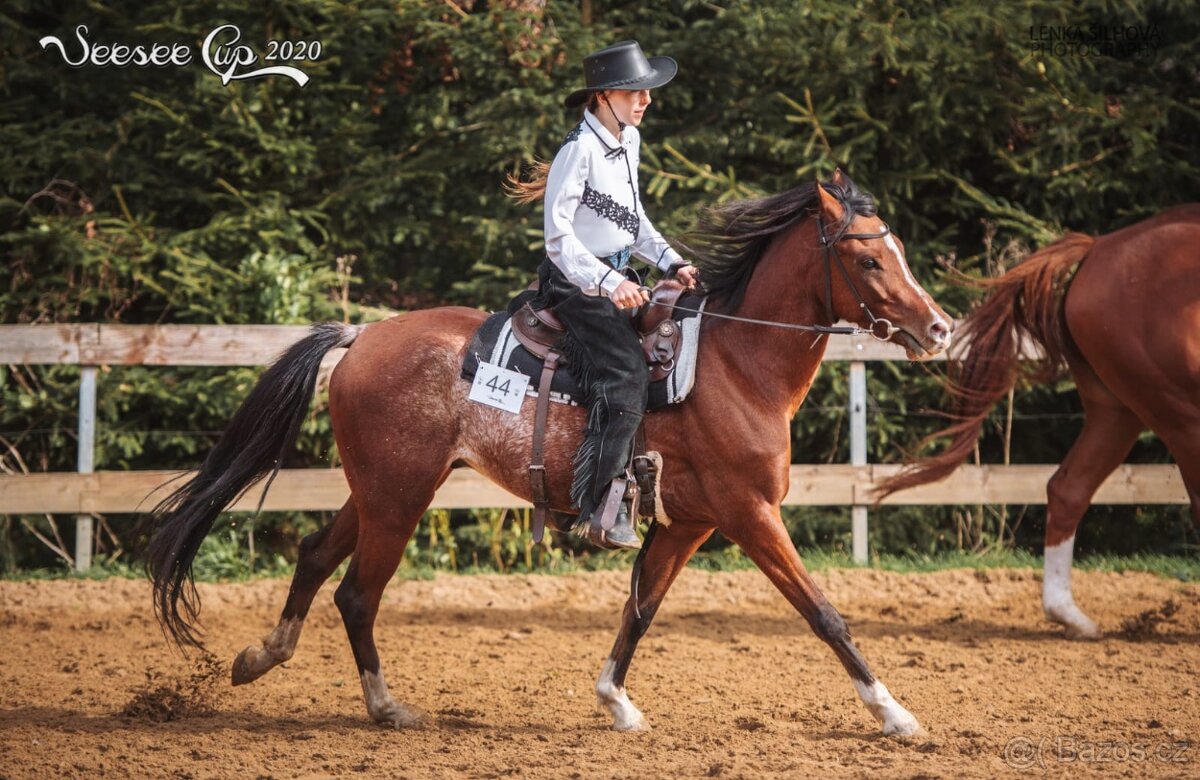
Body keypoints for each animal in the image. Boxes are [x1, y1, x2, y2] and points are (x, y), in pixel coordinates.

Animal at [147, 169, 952, 736]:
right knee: (357, 592)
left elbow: (640, 608)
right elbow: (823, 613)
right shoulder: (749, 514)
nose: (940, 327)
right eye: (868, 260)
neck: (734, 364)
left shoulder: (689, 524)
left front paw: (615, 702)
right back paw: (385, 707)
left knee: (317, 558)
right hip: (399, 497)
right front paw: (895, 714)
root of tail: (363, 334)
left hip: (382, 490)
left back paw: (262, 659)